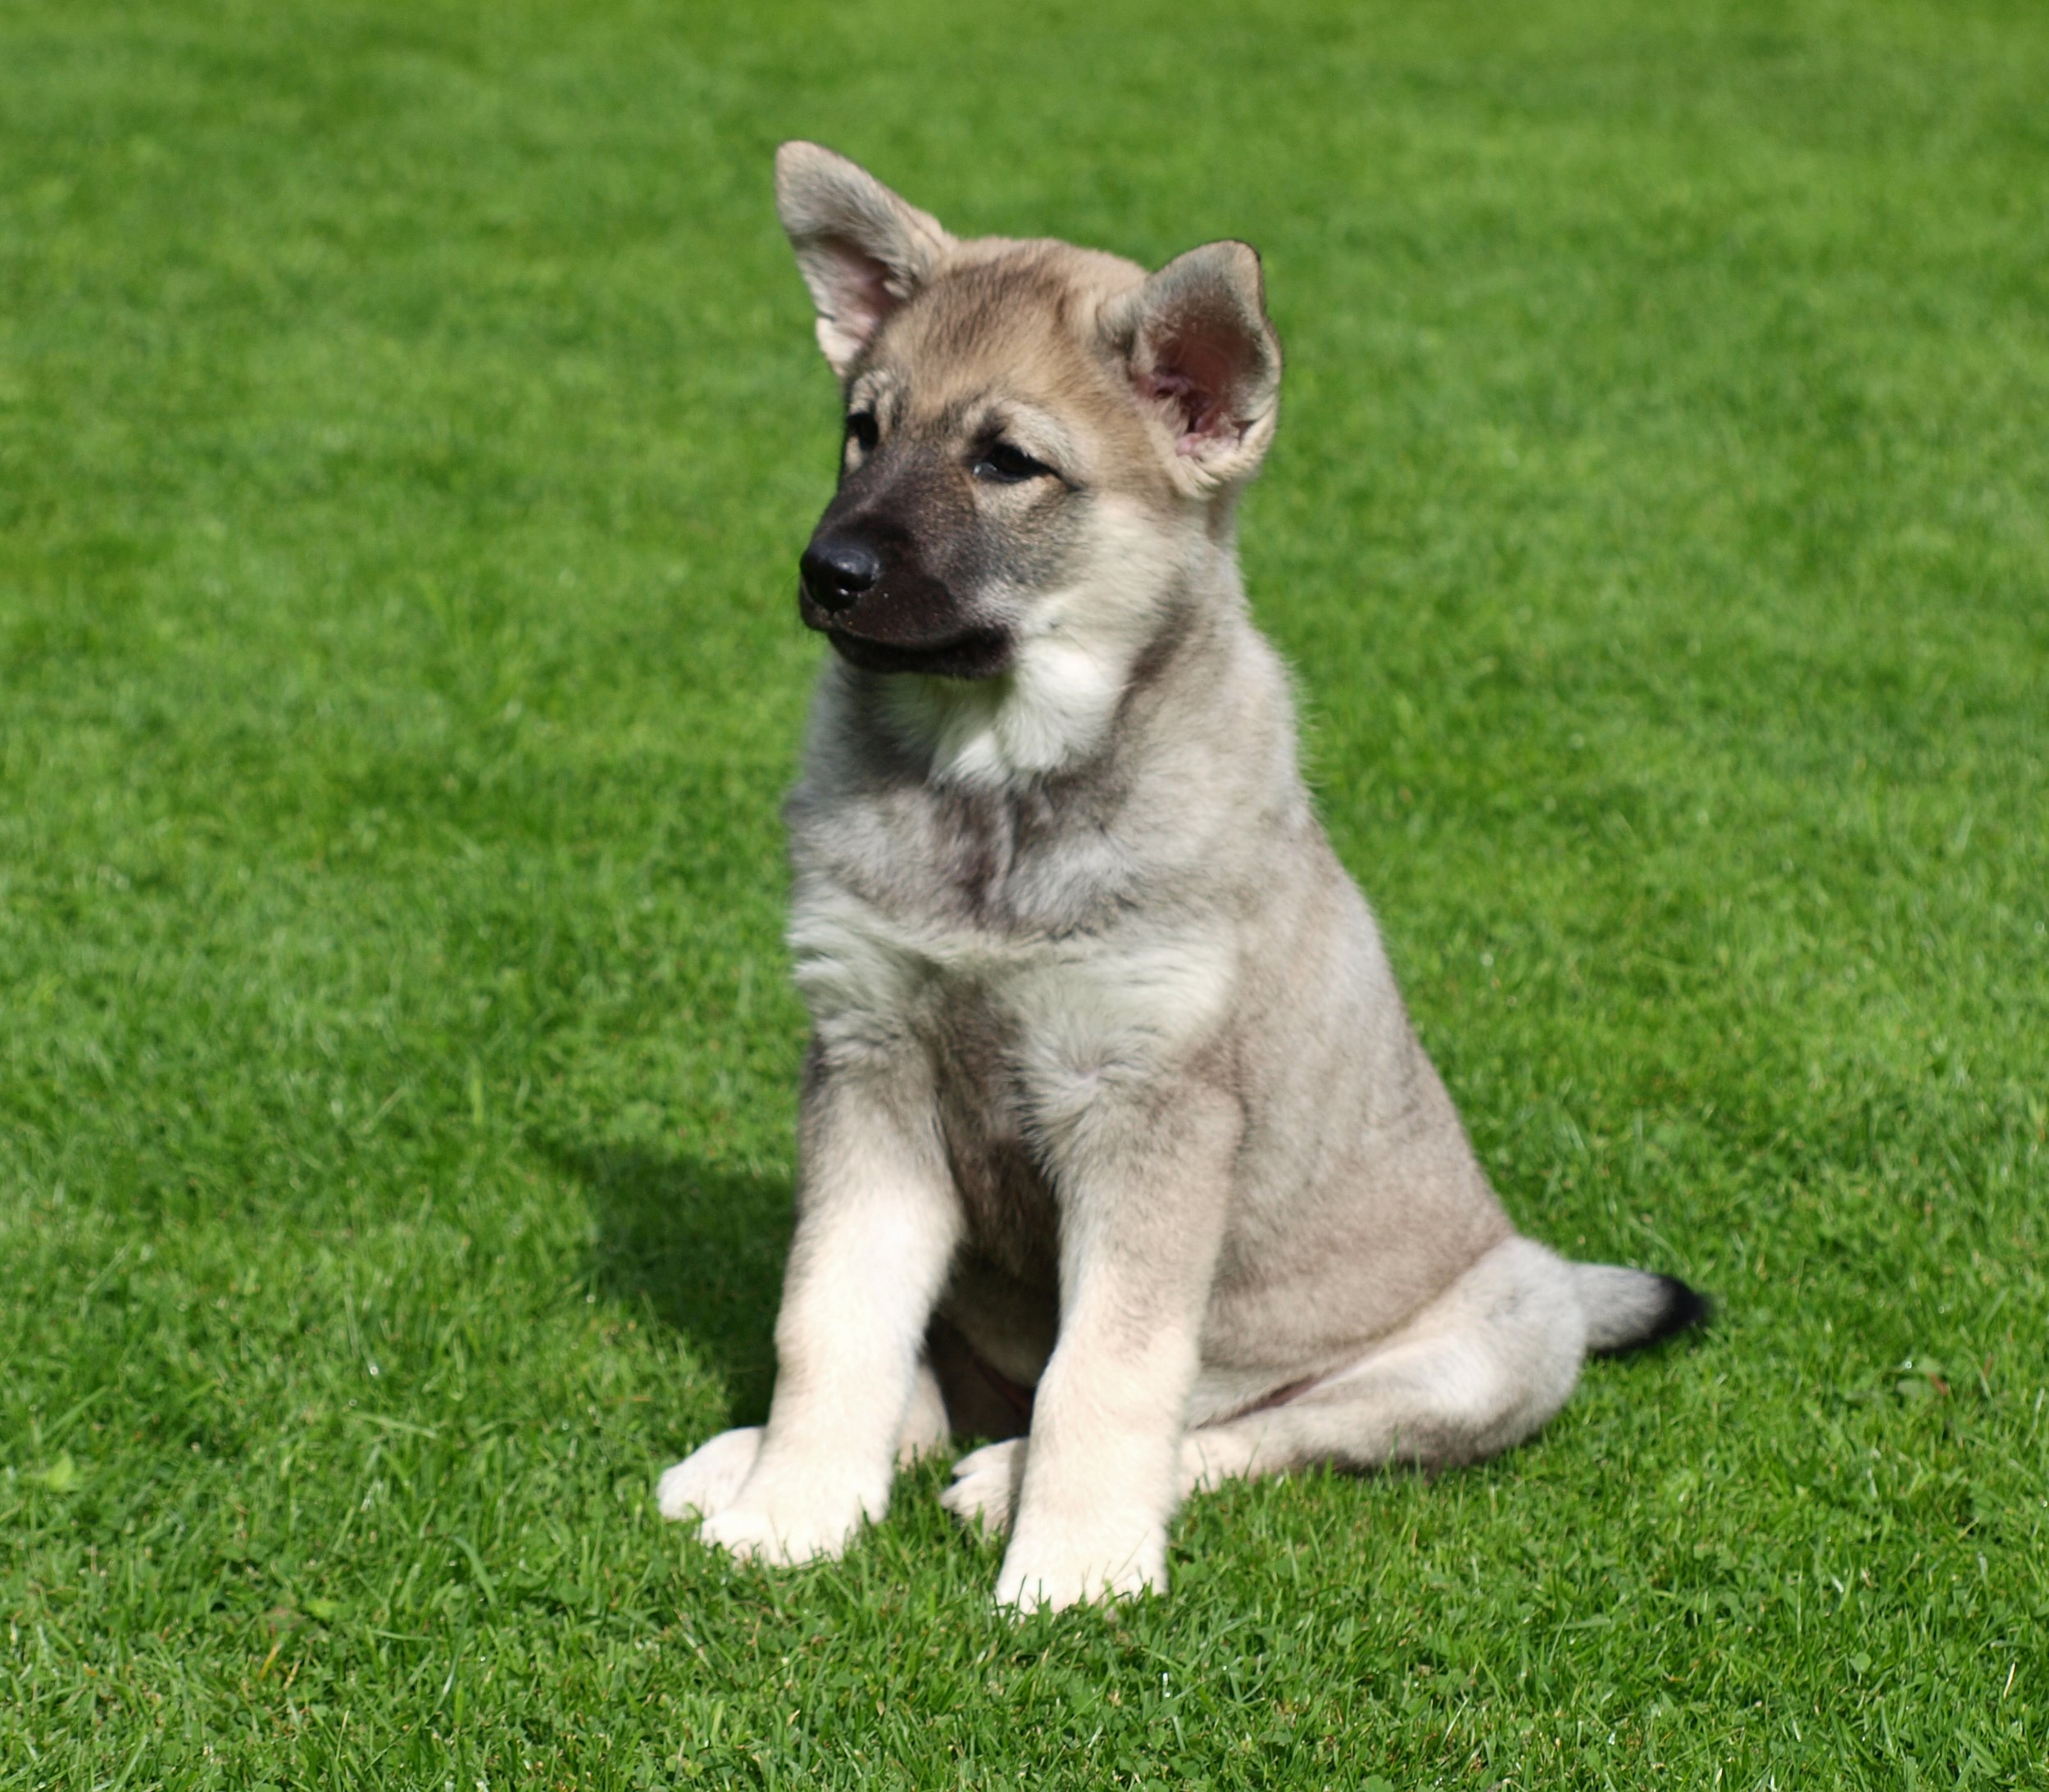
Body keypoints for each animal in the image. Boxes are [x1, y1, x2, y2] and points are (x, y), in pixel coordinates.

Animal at [660, 147, 1713, 1622]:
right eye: (864, 430)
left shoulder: (1151, 1105)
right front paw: (792, 1509)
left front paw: (1077, 1563)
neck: (993, 792)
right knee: (950, 1373)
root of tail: (1553, 1276)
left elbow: (1112, 1367)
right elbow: (834, 1315)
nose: (827, 572)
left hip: (1490, 1343)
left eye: (1008, 462)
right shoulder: (868, 1056)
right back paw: (765, 1457)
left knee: (1251, 1427)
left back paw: (1011, 1481)